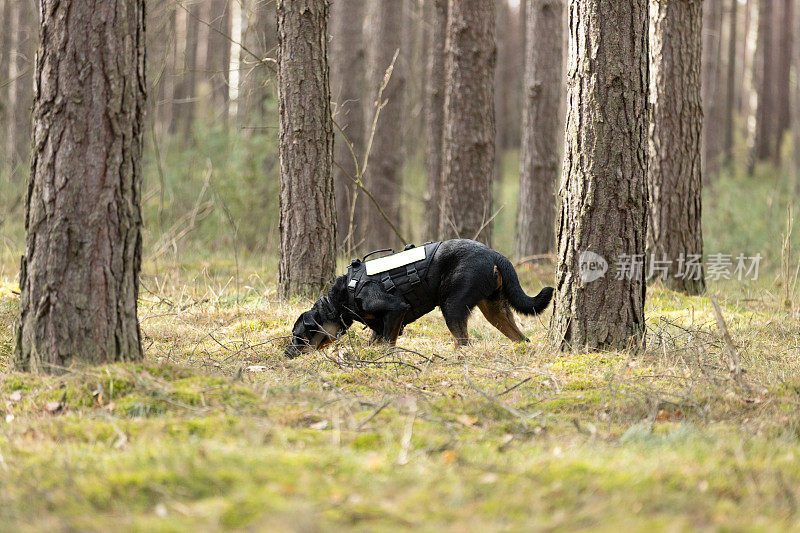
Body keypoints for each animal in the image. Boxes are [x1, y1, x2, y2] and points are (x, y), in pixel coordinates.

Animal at [284, 238, 552, 356]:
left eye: (300, 336)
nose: (287, 352)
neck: (341, 299)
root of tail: (497, 255)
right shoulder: (381, 324)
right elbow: (378, 339)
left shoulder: (395, 308)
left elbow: (389, 342)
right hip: (495, 308)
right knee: (520, 337)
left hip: (452, 304)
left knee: (463, 340)